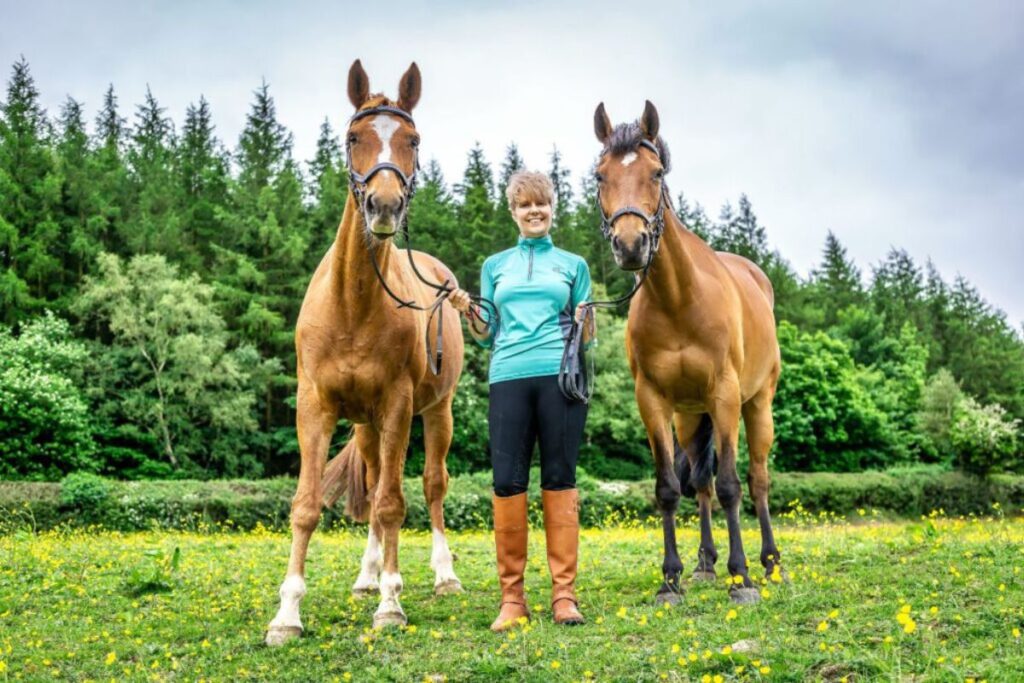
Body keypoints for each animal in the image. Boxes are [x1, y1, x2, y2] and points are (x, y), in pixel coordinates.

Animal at [268, 60, 468, 647]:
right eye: (354, 138)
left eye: (413, 140)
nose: (383, 205)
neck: (354, 304)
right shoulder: (315, 407)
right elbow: (307, 506)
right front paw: (287, 613)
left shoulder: (398, 407)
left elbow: (392, 503)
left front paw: (391, 604)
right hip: (364, 428)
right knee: (377, 486)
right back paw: (367, 575)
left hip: (435, 413)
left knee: (430, 486)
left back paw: (442, 575)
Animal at [593, 100, 782, 602]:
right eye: (599, 175)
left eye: (656, 172)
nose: (631, 245)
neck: (678, 299)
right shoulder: (654, 401)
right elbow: (669, 487)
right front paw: (670, 579)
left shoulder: (725, 396)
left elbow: (732, 485)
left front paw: (741, 578)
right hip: (690, 416)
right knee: (699, 482)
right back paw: (705, 563)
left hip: (756, 404)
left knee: (757, 479)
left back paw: (769, 562)